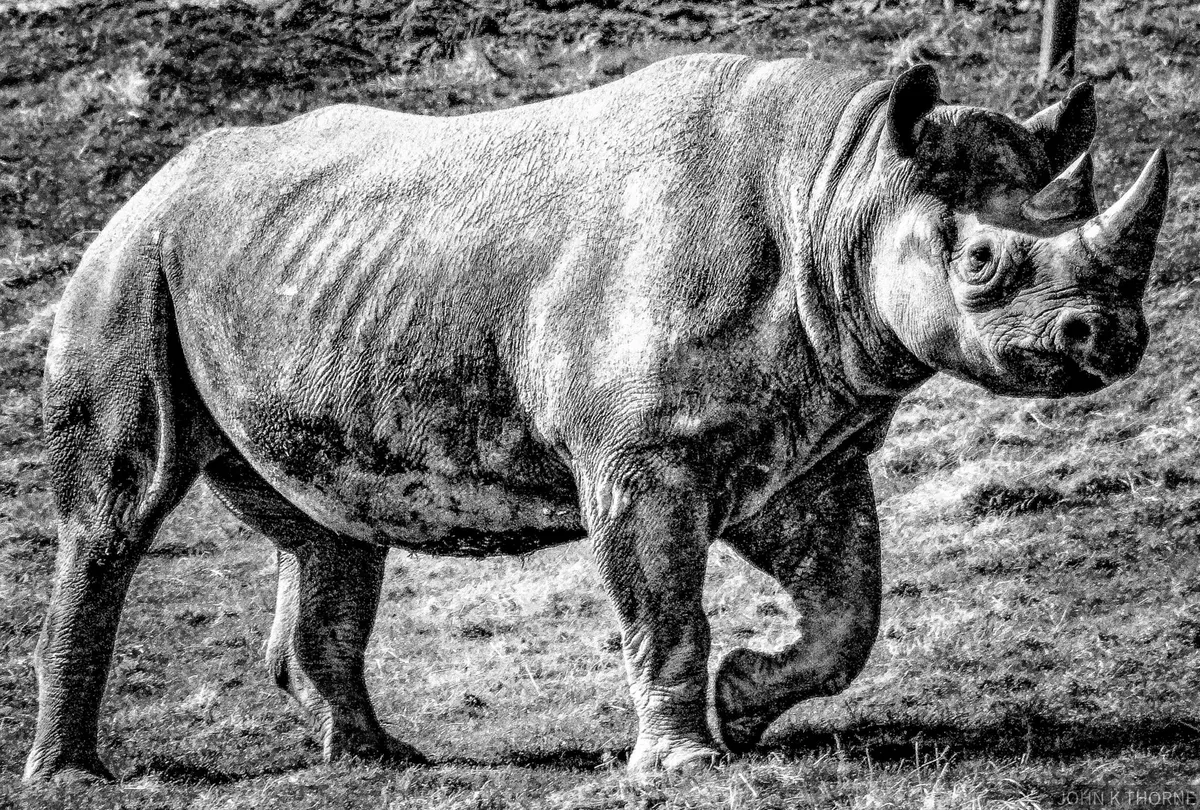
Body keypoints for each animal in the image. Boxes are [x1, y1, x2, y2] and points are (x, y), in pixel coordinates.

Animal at [25, 53, 1168, 782]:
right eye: (978, 261)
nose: (1106, 338)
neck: (838, 186)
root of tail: (152, 181)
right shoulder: (641, 454)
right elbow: (664, 604)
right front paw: (690, 765)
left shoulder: (812, 440)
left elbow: (851, 609)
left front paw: (744, 701)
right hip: (130, 263)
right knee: (117, 512)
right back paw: (75, 777)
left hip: (279, 272)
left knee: (328, 529)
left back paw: (379, 761)